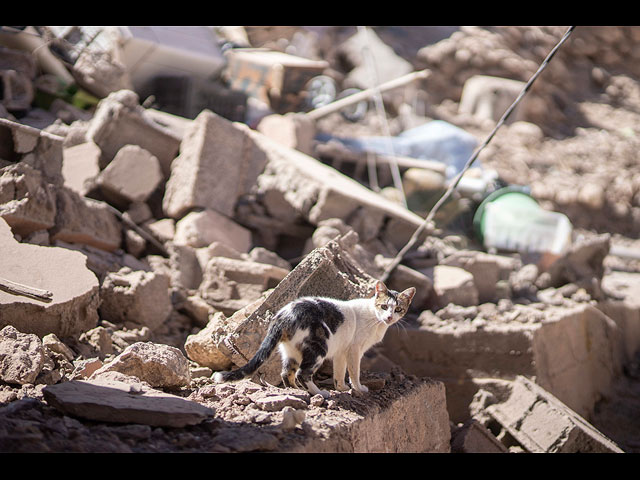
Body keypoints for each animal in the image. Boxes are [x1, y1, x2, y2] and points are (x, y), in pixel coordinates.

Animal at [212, 282, 418, 398]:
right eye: (384, 306)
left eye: (398, 309)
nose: (389, 317)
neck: (376, 320)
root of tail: (284, 314)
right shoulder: (354, 350)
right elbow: (354, 372)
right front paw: (358, 389)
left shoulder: (342, 351)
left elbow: (339, 372)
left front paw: (341, 388)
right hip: (319, 347)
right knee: (302, 373)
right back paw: (319, 393)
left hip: (292, 352)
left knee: (287, 373)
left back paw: (298, 391)